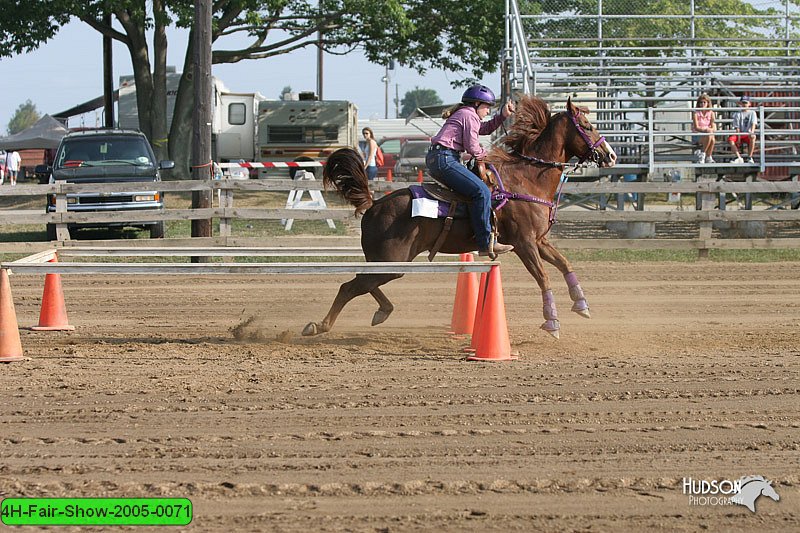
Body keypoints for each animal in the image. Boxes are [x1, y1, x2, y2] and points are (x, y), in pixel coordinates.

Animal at [304, 95, 616, 336]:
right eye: (587, 126)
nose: (611, 155)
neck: (526, 179)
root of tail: (374, 204)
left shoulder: (539, 241)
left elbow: (564, 264)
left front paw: (581, 304)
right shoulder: (524, 243)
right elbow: (543, 277)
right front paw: (552, 322)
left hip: (390, 262)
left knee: (363, 282)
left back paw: (382, 311)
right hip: (391, 260)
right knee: (350, 286)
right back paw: (318, 326)